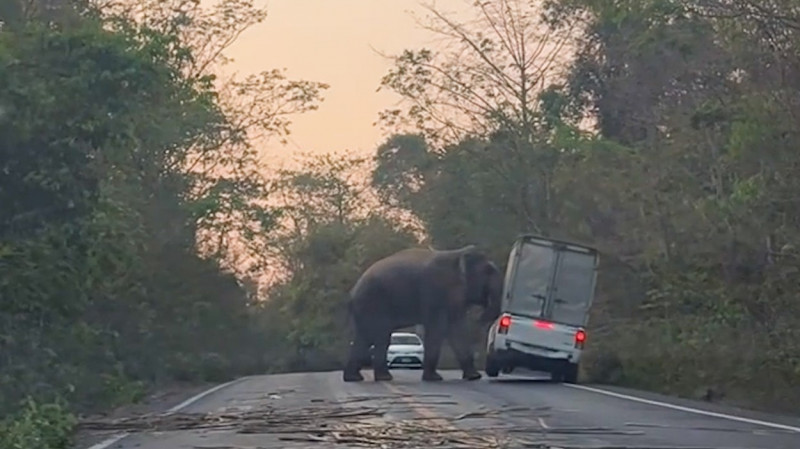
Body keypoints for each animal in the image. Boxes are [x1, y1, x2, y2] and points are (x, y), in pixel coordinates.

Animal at [342, 245, 504, 382]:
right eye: (488, 271)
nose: (478, 317)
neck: (457, 254)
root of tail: (352, 292)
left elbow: (458, 330)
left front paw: (474, 377)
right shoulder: (435, 291)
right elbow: (438, 329)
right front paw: (434, 379)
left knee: (365, 337)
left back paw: (355, 378)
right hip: (373, 304)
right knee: (380, 336)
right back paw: (383, 378)